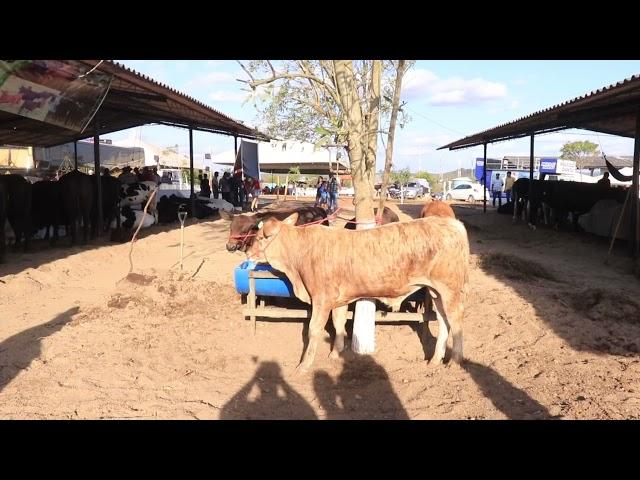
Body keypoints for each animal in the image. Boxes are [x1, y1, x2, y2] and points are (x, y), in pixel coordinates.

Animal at [248, 213, 472, 372]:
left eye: (259, 237)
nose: (248, 253)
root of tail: (452, 224)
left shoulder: (321, 298)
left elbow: (314, 330)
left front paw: (304, 365)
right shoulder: (339, 299)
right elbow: (338, 323)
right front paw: (335, 353)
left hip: (449, 289)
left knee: (456, 321)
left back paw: (455, 360)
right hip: (436, 291)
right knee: (443, 320)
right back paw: (435, 360)